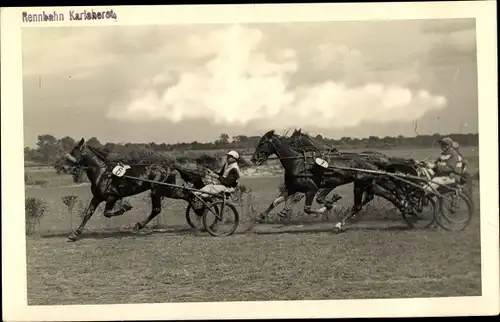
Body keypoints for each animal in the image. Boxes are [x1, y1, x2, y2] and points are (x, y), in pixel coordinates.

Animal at [63, 138, 207, 242]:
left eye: (74, 151)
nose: (64, 166)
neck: (103, 173)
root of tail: (170, 167)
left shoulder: (112, 197)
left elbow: (107, 213)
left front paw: (125, 207)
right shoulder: (97, 197)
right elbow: (88, 214)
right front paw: (75, 234)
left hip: (159, 190)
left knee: (157, 209)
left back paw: (138, 225)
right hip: (167, 190)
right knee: (186, 196)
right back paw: (198, 210)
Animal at [250, 130, 414, 230]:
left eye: (262, 143)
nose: (253, 159)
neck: (298, 163)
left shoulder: (314, 187)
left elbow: (309, 207)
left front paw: (328, 206)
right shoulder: (292, 187)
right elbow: (276, 201)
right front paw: (262, 216)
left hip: (362, 184)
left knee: (368, 201)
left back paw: (340, 224)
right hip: (368, 183)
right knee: (387, 195)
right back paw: (407, 211)